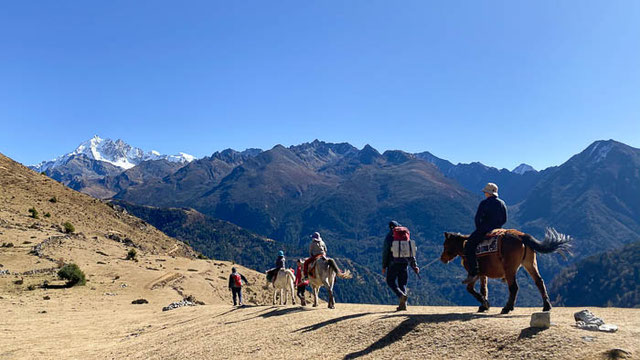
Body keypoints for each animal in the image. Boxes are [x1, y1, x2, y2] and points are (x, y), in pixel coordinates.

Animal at [440, 229, 568, 314]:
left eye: (445, 244)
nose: (442, 258)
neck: (464, 247)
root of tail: (521, 236)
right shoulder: (482, 275)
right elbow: (483, 289)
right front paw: (484, 306)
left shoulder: (474, 273)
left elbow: (470, 289)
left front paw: (484, 303)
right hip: (530, 264)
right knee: (539, 281)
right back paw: (546, 306)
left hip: (510, 269)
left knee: (514, 287)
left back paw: (507, 308)